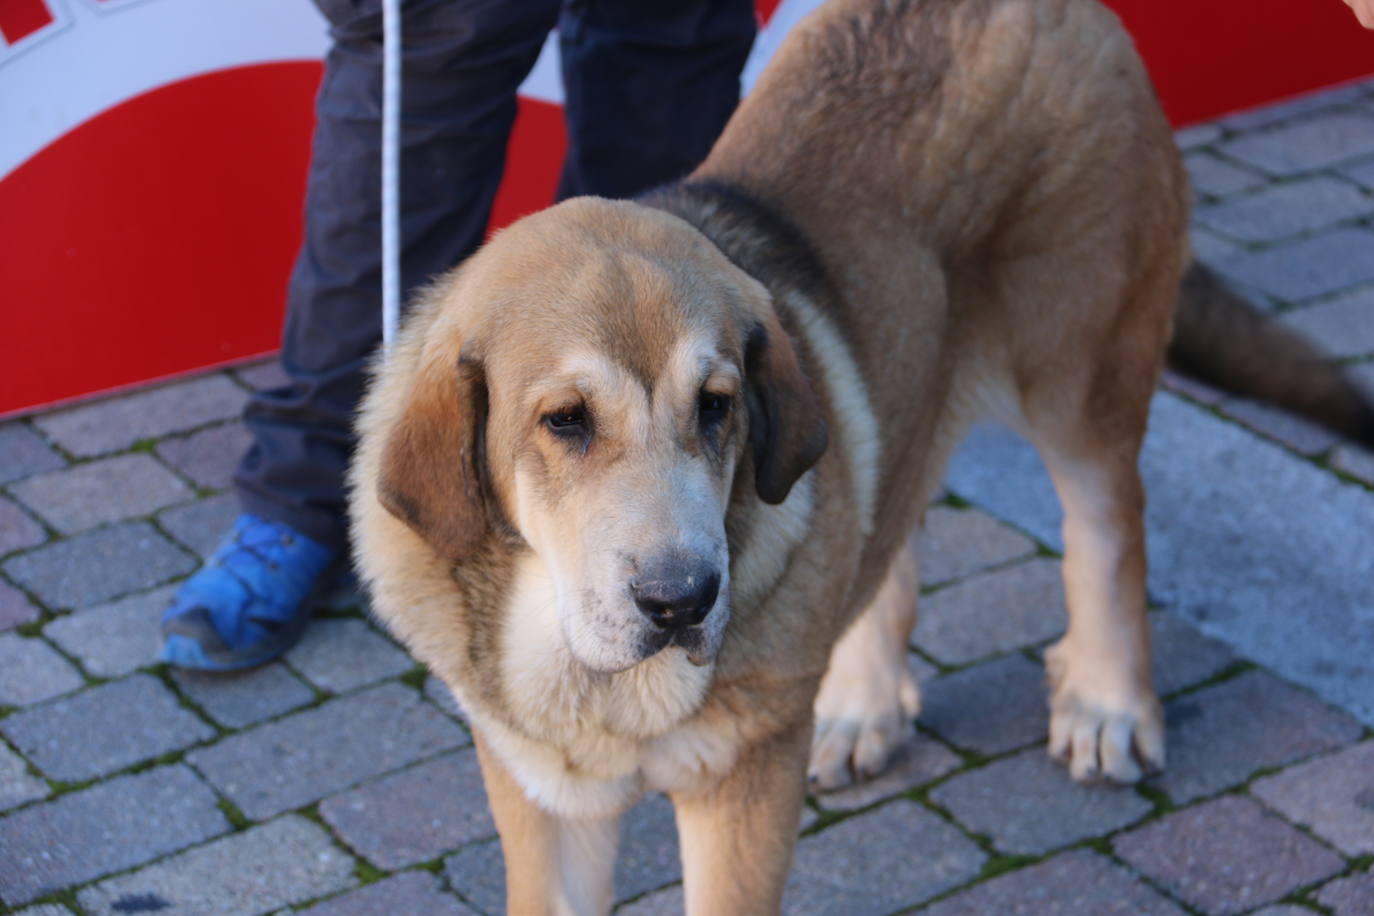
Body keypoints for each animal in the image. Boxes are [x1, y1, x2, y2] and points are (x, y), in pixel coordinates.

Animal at [348, 0, 1374, 911]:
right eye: (564, 421)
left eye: (717, 408)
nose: (683, 602)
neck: (574, 661)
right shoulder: (546, 804)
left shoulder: (741, 788)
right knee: (892, 515)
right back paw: (865, 702)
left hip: (1078, 373)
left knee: (1107, 523)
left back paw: (1109, 701)